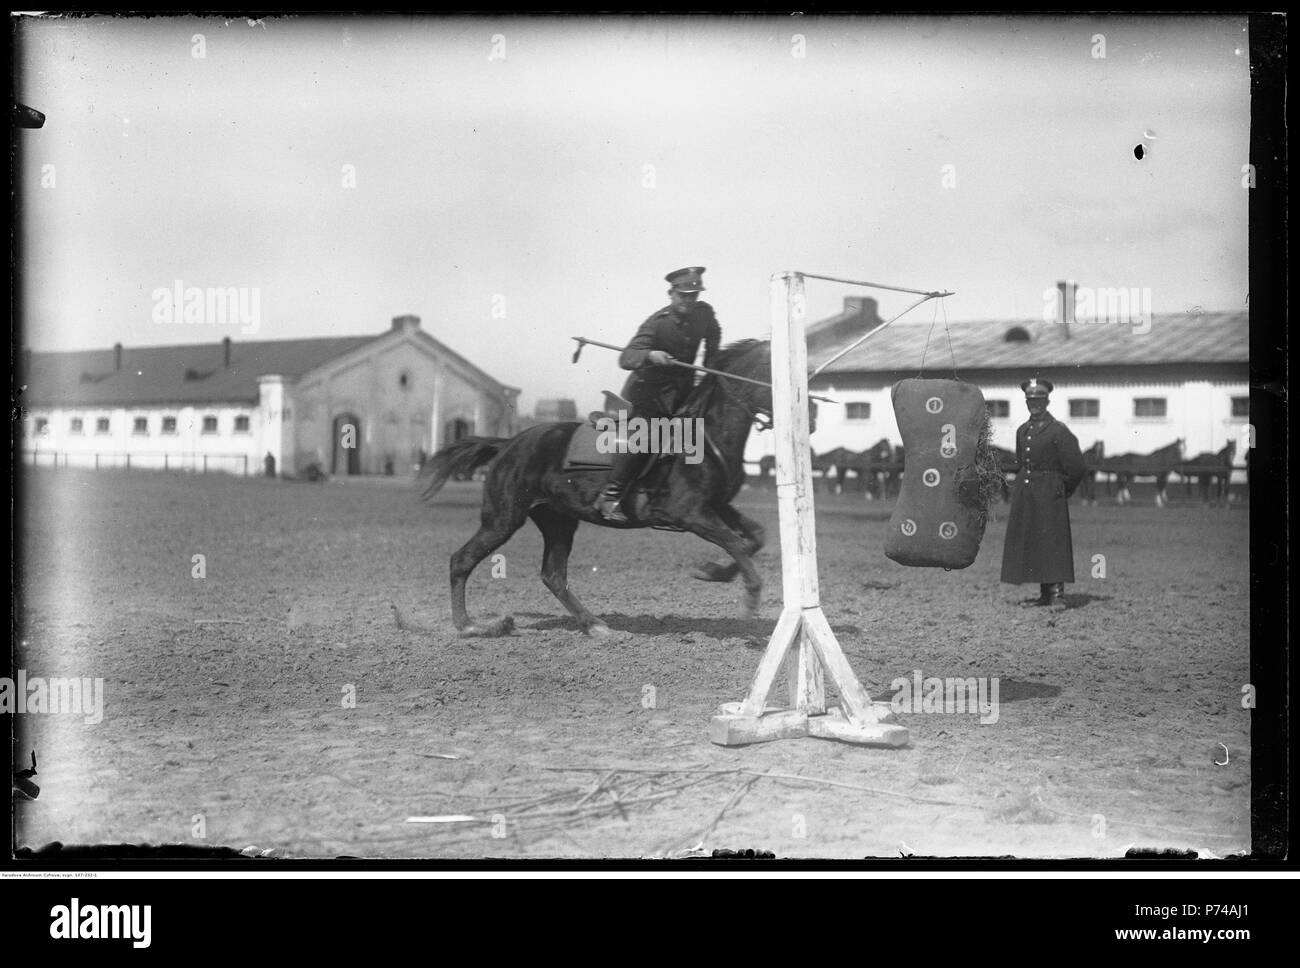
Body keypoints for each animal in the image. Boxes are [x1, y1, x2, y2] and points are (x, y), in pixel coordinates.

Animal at [418, 340, 780, 634]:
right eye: (770, 369)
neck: (705, 437)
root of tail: (507, 443)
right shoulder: (690, 513)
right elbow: (734, 542)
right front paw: (750, 599)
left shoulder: (717, 507)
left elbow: (754, 538)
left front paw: (713, 572)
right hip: (503, 519)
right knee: (462, 561)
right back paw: (468, 626)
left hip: (558, 521)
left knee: (553, 575)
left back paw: (593, 624)